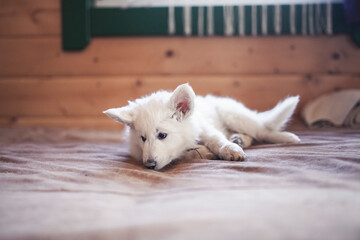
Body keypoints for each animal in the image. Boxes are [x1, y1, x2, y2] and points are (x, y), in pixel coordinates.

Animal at [102, 83, 300, 170]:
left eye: (162, 135)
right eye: (142, 138)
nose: (149, 165)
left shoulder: (205, 127)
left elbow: (216, 139)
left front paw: (229, 149)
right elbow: (187, 152)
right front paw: (205, 152)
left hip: (234, 115)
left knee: (261, 129)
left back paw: (286, 137)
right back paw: (239, 139)